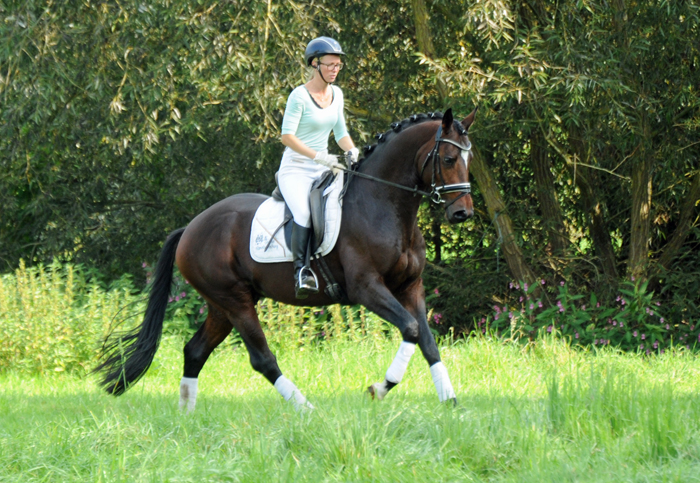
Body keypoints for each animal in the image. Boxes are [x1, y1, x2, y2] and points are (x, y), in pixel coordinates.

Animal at [95, 108, 476, 410]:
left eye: (469, 160)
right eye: (448, 160)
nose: (463, 214)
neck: (384, 203)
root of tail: (190, 227)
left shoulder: (410, 287)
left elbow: (427, 340)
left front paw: (450, 400)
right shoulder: (367, 288)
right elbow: (411, 329)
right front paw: (378, 389)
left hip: (221, 306)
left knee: (195, 351)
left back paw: (186, 416)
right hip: (235, 302)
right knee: (262, 359)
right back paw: (305, 408)